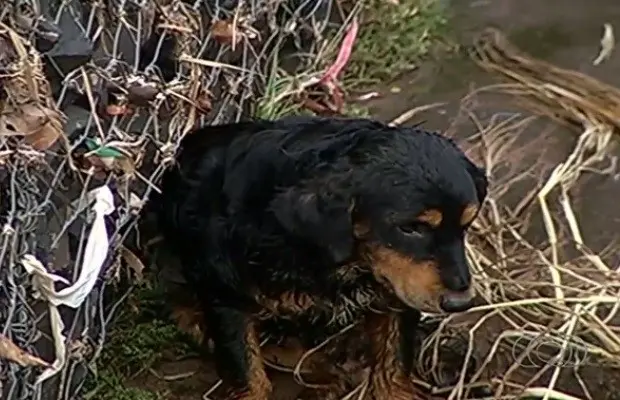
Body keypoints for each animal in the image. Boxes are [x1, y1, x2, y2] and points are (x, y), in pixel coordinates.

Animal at [148, 114, 486, 398]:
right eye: (410, 228)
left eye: (467, 224)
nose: (460, 303)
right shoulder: (226, 299)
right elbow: (248, 376)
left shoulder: (395, 292)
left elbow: (393, 366)